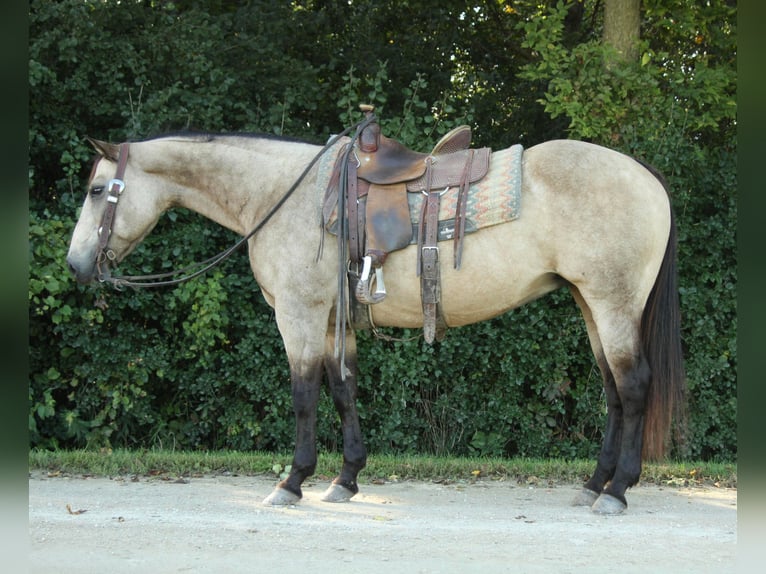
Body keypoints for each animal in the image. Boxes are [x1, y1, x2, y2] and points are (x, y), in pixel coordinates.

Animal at [66, 117, 688, 516]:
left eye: (97, 189)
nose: (75, 265)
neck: (283, 195)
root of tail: (645, 175)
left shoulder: (299, 315)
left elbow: (304, 395)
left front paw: (292, 482)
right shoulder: (331, 321)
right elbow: (343, 390)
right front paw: (345, 480)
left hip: (611, 304)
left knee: (633, 387)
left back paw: (617, 491)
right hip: (590, 304)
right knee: (612, 392)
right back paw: (593, 485)